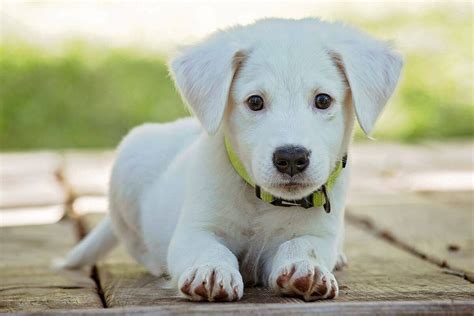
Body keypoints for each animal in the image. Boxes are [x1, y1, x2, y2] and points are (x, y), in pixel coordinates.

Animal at [57, 18, 402, 302]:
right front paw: (210, 271)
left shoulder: (319, 233)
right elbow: (209, 248)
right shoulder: (195, 230)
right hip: (129, 164)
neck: (262, 202)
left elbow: (303, 245)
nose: (291, 158)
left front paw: (307, 268)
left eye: (323, 100)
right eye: (255, 102)